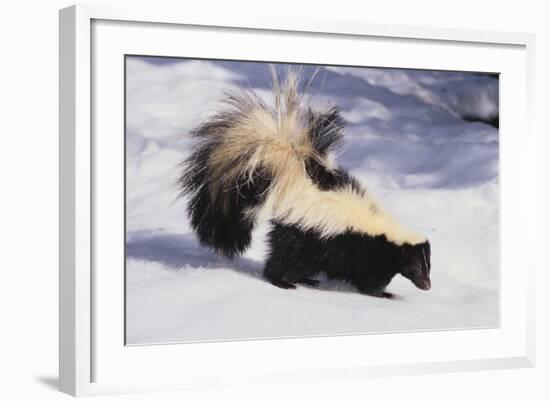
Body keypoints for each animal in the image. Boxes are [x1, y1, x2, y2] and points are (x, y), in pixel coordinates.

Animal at [179, 69, 434, 296]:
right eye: (416, 267)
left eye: (428, 266)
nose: (427, 285)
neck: (387, 234)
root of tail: (294, 179)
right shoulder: (365, 250)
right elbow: (370, 279)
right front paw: (383, 294)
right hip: (300, 237)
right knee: (283, 260)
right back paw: (283, 282)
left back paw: (306, 279)